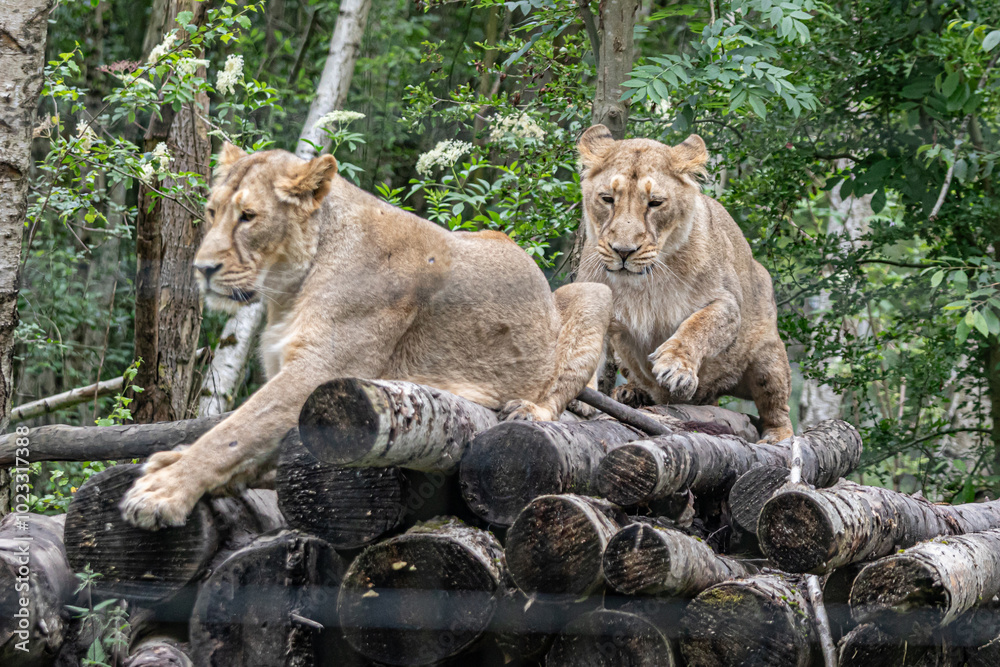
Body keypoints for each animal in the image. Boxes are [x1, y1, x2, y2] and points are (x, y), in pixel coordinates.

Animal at [120, 143, 612, 529]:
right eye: (211, 212)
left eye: (248, 217)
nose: (202, 269)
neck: (289, 288)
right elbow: (246, 436)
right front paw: (173, 463)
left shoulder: (320, 370)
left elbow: (235, 430)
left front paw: (164, 491)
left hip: (592, 293)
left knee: (562, 390)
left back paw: (529, 409)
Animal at [575, 124, 793, 444]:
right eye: (607, 199)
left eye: (655, 203)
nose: (623, 251)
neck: (644, 282)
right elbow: (582, 343)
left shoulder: (727, 304)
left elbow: (698, 326)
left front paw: (676, 367)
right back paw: (631, 393)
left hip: (768, 355)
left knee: (777, 407)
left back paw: (778, 435)